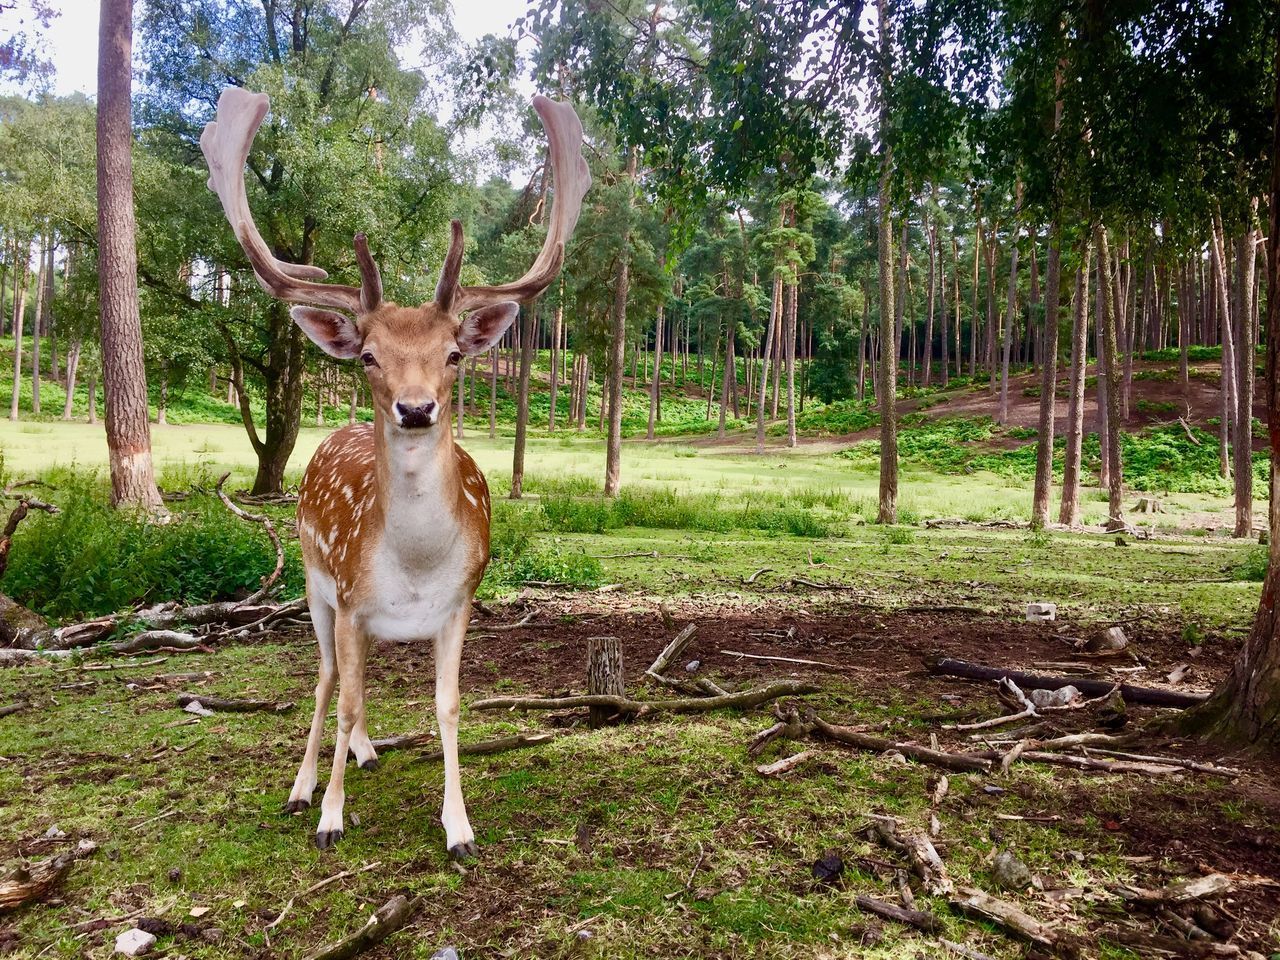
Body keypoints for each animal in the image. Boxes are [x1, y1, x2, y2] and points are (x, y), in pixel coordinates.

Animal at [199, 88, 588, 855]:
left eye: (454, 355)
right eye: (370, 355)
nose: (414, 408)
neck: (413, 564)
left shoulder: (459, 606)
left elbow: (449, 706)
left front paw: (460, 827)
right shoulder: (350, 601)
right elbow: (344, 699)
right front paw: (329, 816)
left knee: (355, 685)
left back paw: (368, 753)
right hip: (313, 586)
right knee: (326, 681)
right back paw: (303, 786)